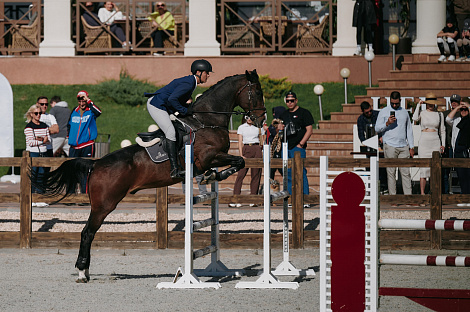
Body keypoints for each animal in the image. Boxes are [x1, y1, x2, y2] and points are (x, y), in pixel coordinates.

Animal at [31, 70, 266, 282]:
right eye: (257, 91)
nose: (262, 118)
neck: (207, 120)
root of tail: (96, 163)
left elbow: (238, 162)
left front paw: (213, 176)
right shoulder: (208, 157)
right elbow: (239, 161)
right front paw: (216, 175)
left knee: (88, 232)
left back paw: (85, 271)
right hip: (104, 204)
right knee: (87, 232)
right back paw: (82, 272)